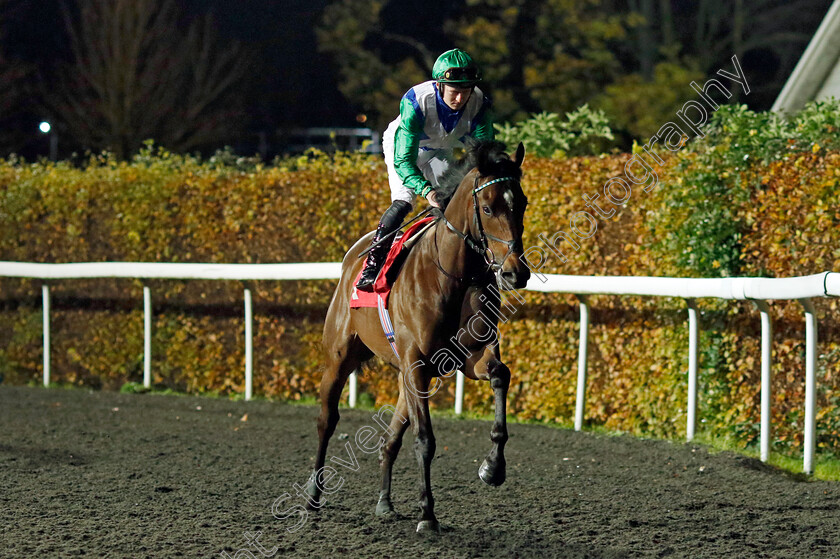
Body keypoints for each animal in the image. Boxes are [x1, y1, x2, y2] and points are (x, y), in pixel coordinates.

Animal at [308, 140, 532, 532]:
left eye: (522, 203)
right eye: (488, 206)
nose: (515, 273)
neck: (453, 276)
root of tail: (352, 257)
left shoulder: (467, 357)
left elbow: (500, 375)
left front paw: (493, 467)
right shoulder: (417, 363)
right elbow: (425, 440)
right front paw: (427, 514)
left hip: (407, 377)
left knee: (390, 437)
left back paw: (384, 502)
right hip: (339, 357)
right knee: (327, 421)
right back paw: (313, 497)